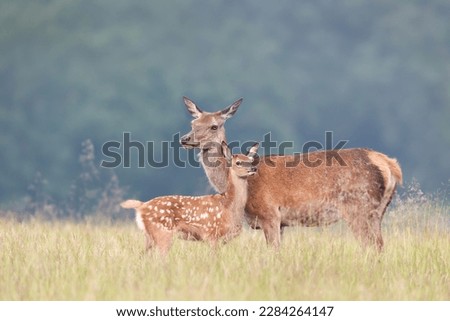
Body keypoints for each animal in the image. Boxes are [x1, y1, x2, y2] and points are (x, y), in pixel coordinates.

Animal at [121, 141, 258, 254]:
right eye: (238, 162)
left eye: (251, 160)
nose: (253, 168)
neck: (228, 205)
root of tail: (141, 206)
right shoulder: (211, 233)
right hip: (162, 232)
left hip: (150, 236)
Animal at [179, 96, 404, 251]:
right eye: (193, 124)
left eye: (214, 126)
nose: (185, 139)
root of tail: (389, 164)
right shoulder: (282, 223)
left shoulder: (269, 213)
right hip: (377, 212)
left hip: (360, 208)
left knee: (372, 246)